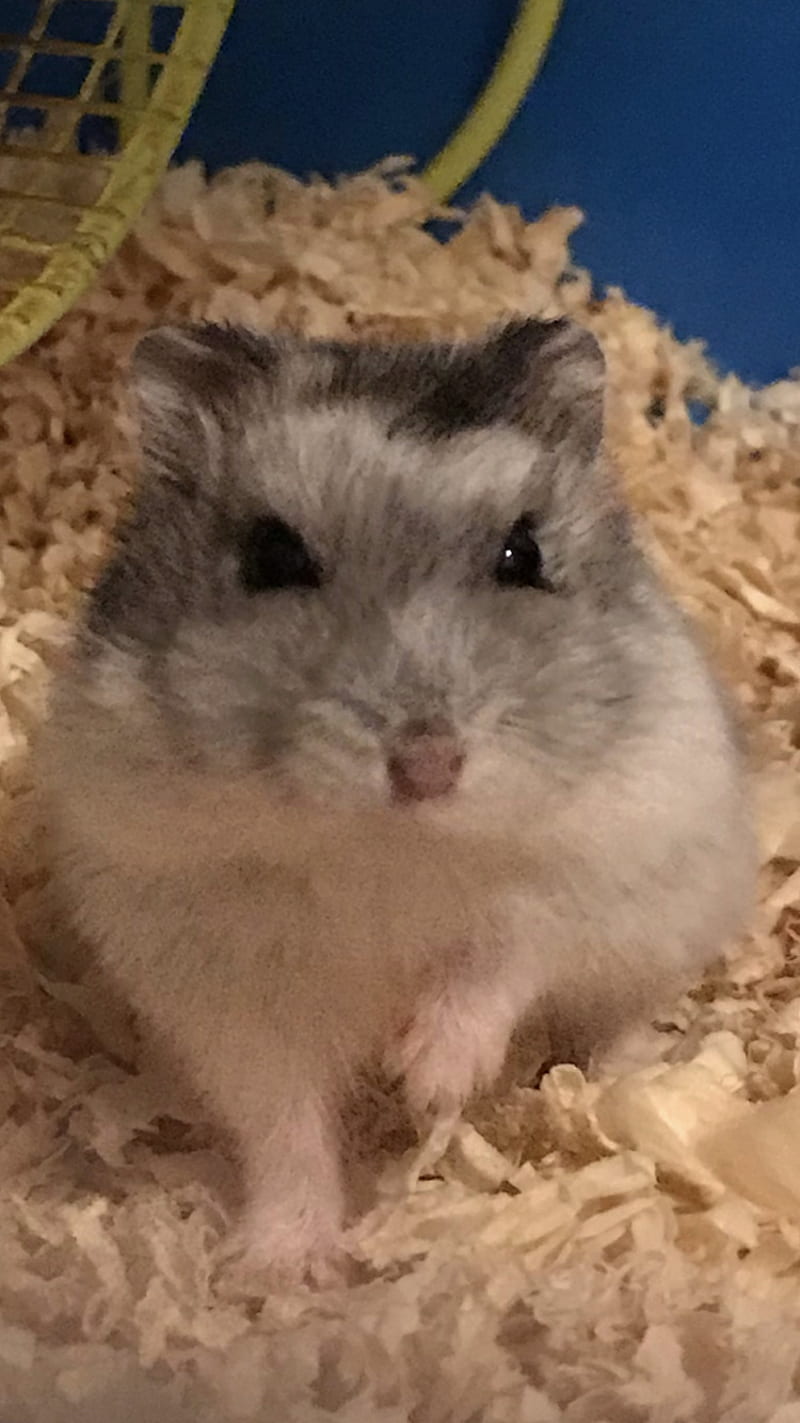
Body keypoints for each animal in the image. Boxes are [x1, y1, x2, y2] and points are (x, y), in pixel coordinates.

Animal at [40, 318, 755, 1275]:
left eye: (523, 553)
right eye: (272, 555)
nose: (426, 765)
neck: (390, 843)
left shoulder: (593, 866)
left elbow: (504, 951)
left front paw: (427, 1081)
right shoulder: (222, 969)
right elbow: (283, 1121)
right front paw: (285, 1264)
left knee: (612, 1012)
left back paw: (627, 1078)